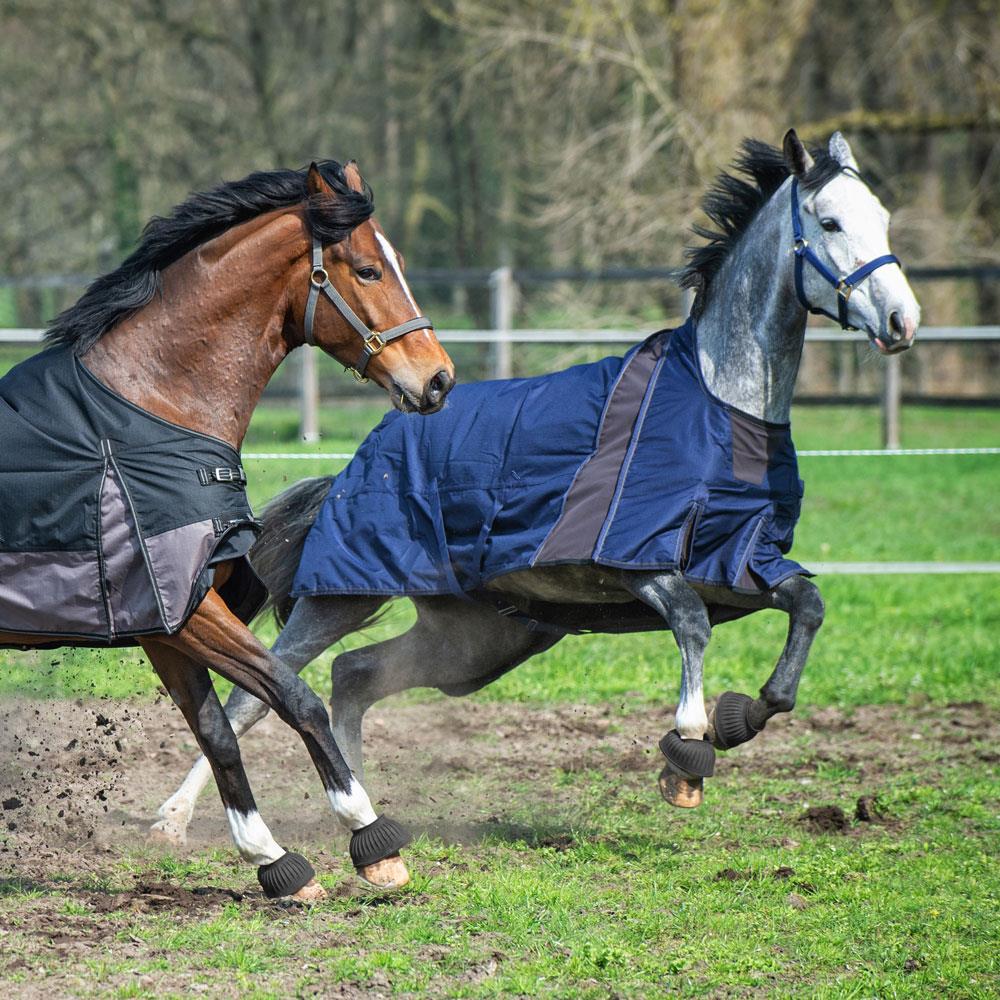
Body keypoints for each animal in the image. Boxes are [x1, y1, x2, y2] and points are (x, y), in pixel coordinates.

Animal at [1, 158, 456, 900]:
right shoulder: (184, 608)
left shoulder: (168, 619)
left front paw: (273, 860)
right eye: (367, 270)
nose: (438, 379)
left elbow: (217, 728)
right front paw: (370, 839)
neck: (148, 410)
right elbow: (293, 696)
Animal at [152, 129, 916, 840]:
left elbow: (806, 609)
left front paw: (740, 718)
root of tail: (355, 463)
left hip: (476, 641)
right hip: (343, 597)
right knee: (262, 691)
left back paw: (360, 801)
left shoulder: (738, 566)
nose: (902, 321)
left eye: (882, 218)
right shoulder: (632, 564)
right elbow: (691, 624)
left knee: (355, 675)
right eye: (829, 223)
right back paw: (179, 817)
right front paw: (687, 756)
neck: (721, 406)